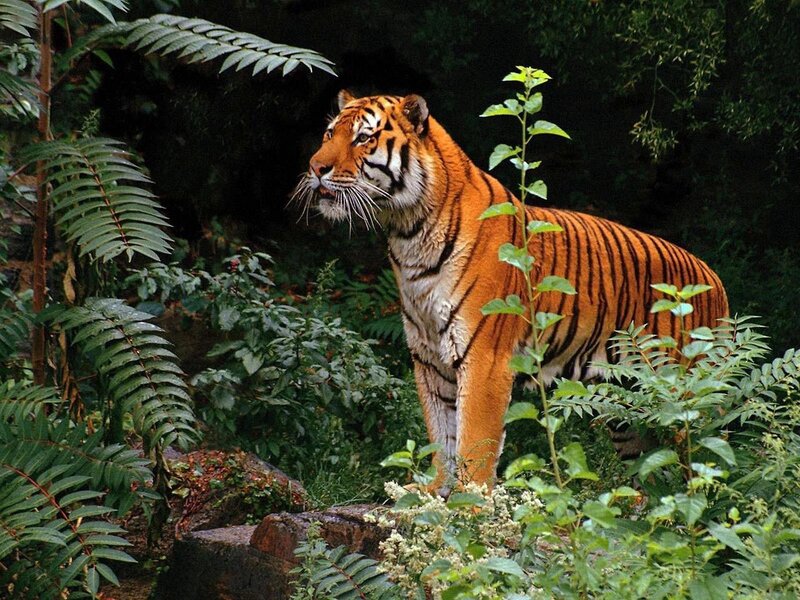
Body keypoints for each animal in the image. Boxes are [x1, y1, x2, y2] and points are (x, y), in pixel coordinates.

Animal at [293, 90, 729, 494]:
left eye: (363, 138)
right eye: (329, 133)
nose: (315, 167)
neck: (408, 232)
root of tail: (715, 280)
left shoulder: (485, 358)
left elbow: (473, 441)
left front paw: (471, 505)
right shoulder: (429, 360)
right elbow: (441, 435)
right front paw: (434, 493)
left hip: (684, 397)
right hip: (626, 406)